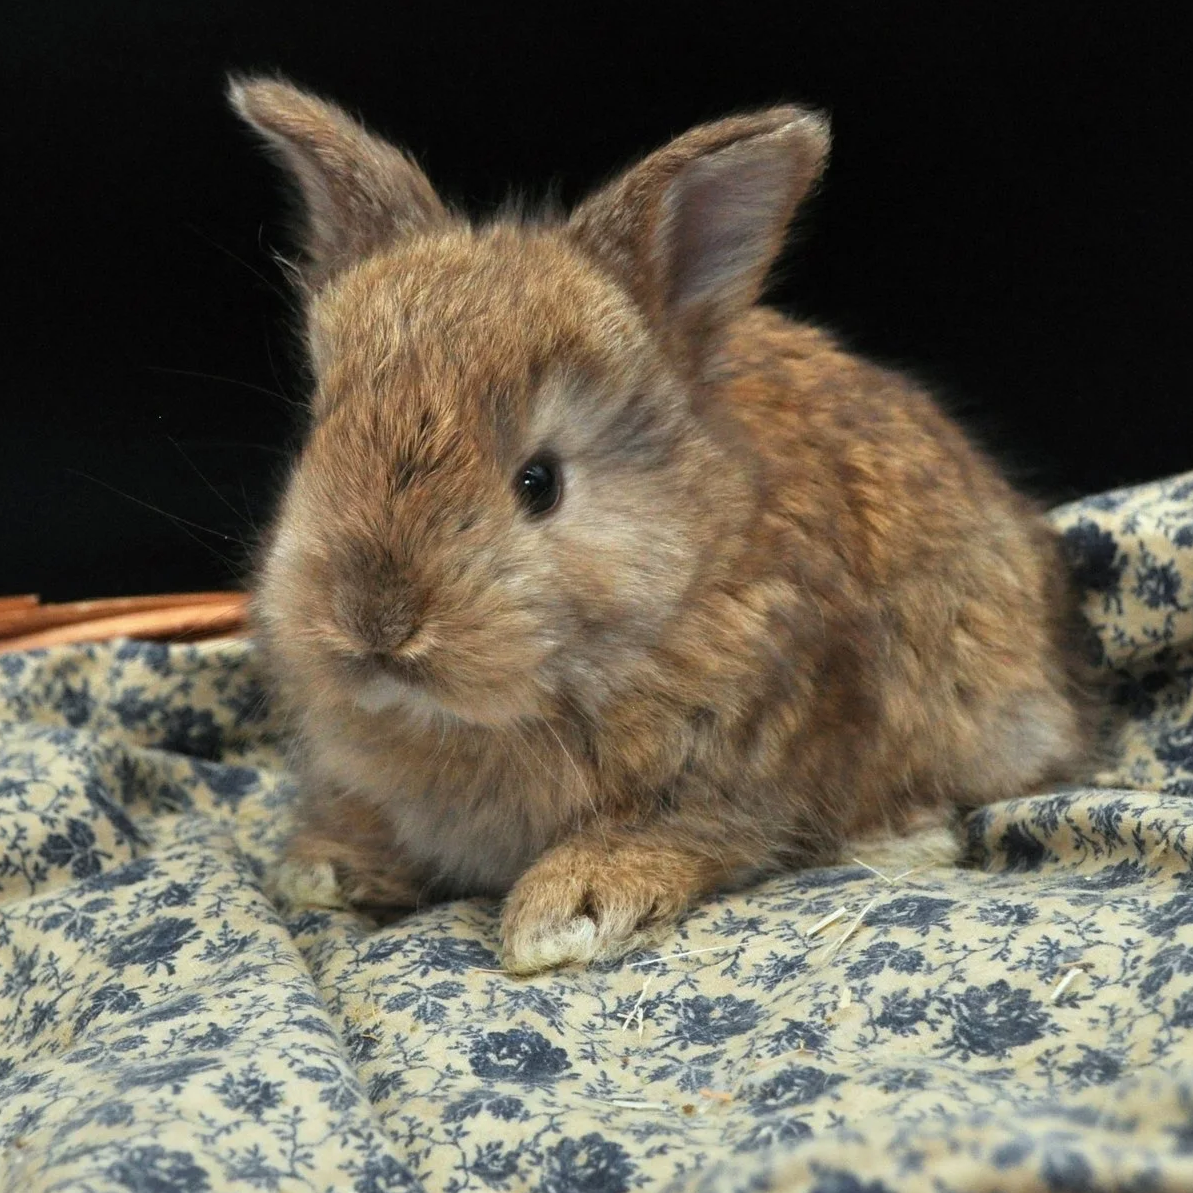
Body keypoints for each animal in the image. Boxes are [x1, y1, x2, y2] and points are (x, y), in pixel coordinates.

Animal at [230, 77, 1095, 974]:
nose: (376, 623)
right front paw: (325, 866)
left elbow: (674, 835)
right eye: (320, 433)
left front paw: (564, 915)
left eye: (539, 483)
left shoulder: (741, 772)